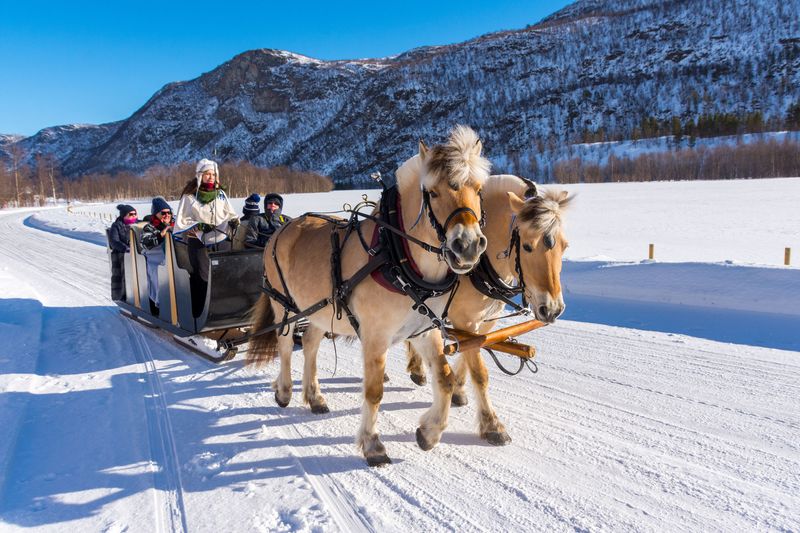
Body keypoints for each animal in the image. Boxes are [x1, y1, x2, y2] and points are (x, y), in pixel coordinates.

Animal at [247, 124, 490, 466]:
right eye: (433, 192)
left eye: (478, 188)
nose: (467, 246)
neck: (397, 256)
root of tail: (282, 229)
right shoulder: (375, 336)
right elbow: (374, 391)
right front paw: (373, 445)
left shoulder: (424, 329)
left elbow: (444, 378)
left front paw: (428, 434)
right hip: (284, 305)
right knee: (284, 346)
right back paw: (284, 391)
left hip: (319, 310)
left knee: (309, 345)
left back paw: (315, 396)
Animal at [406, 175, 576, 444]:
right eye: (527, 247)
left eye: (565, 246)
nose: (552, 309)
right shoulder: (464, 320)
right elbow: (479, 372)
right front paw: (492, 425)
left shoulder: (486, 321)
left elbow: (469, 354)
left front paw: (458, 390)